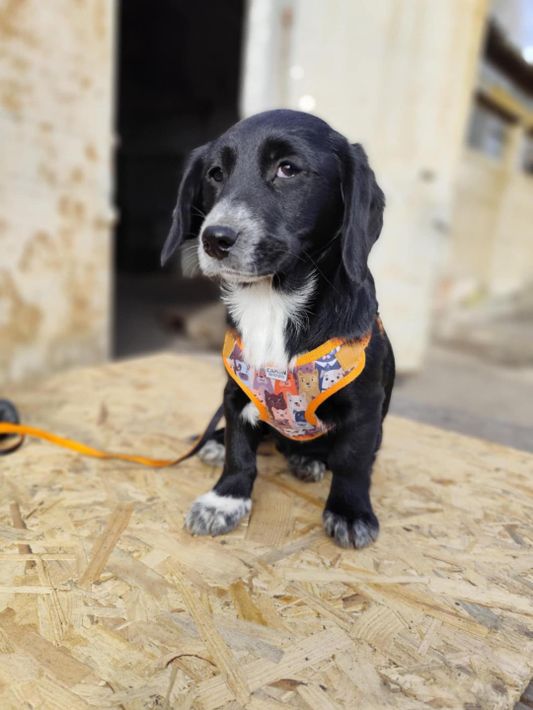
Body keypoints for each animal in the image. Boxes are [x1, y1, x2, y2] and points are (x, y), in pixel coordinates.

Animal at [161, 109, 395, 548]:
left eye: (287, 169)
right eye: (215, 174)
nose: (214, 239)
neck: (271, 300)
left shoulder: (365, 407)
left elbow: (353, 462)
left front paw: (350, 512)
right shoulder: (236, 390)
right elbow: (240, 450)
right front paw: (224, 500)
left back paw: (306, 459)